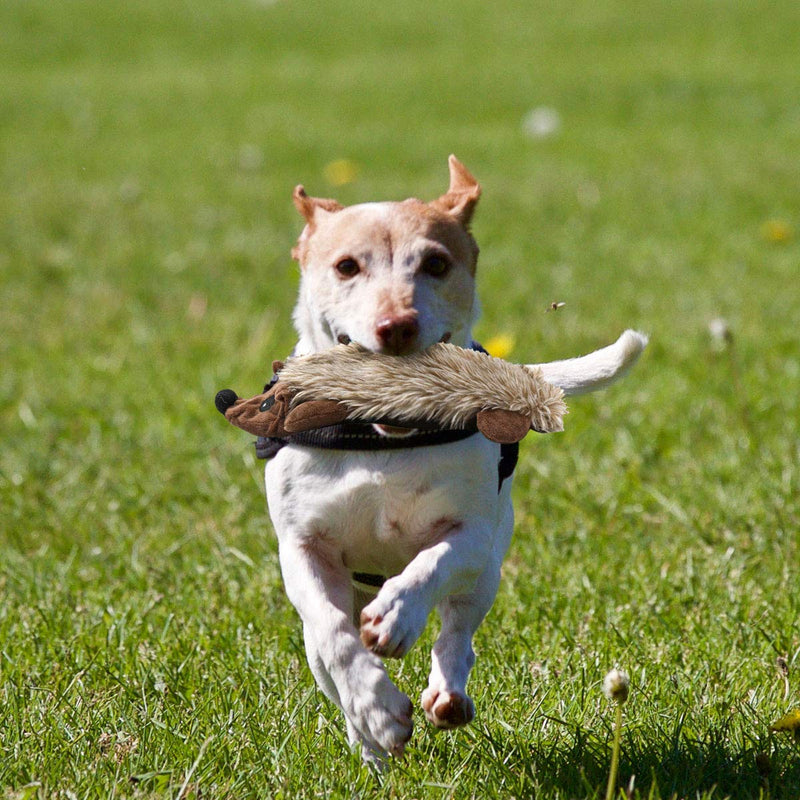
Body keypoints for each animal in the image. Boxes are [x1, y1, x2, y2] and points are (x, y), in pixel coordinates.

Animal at [262, 155, 644, 764]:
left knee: (458, 632)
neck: (385, 440)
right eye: (346, 266)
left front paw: (397, 616)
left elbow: (432, 565)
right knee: (327, 656)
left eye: (436, 263)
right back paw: (369, 743)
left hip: (487, 570)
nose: (396, 325)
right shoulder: (302, 547)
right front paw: (377, 711)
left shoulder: (472, 533)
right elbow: (335, 636)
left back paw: (446, 692)